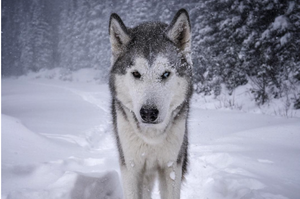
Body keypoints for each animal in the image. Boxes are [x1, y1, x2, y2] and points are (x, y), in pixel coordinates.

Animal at [109, 8, 193, 198]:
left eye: (165, 74)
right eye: (136, 74)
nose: (148, 113)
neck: (151, 138)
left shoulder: (171, 167)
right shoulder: (131, 168)